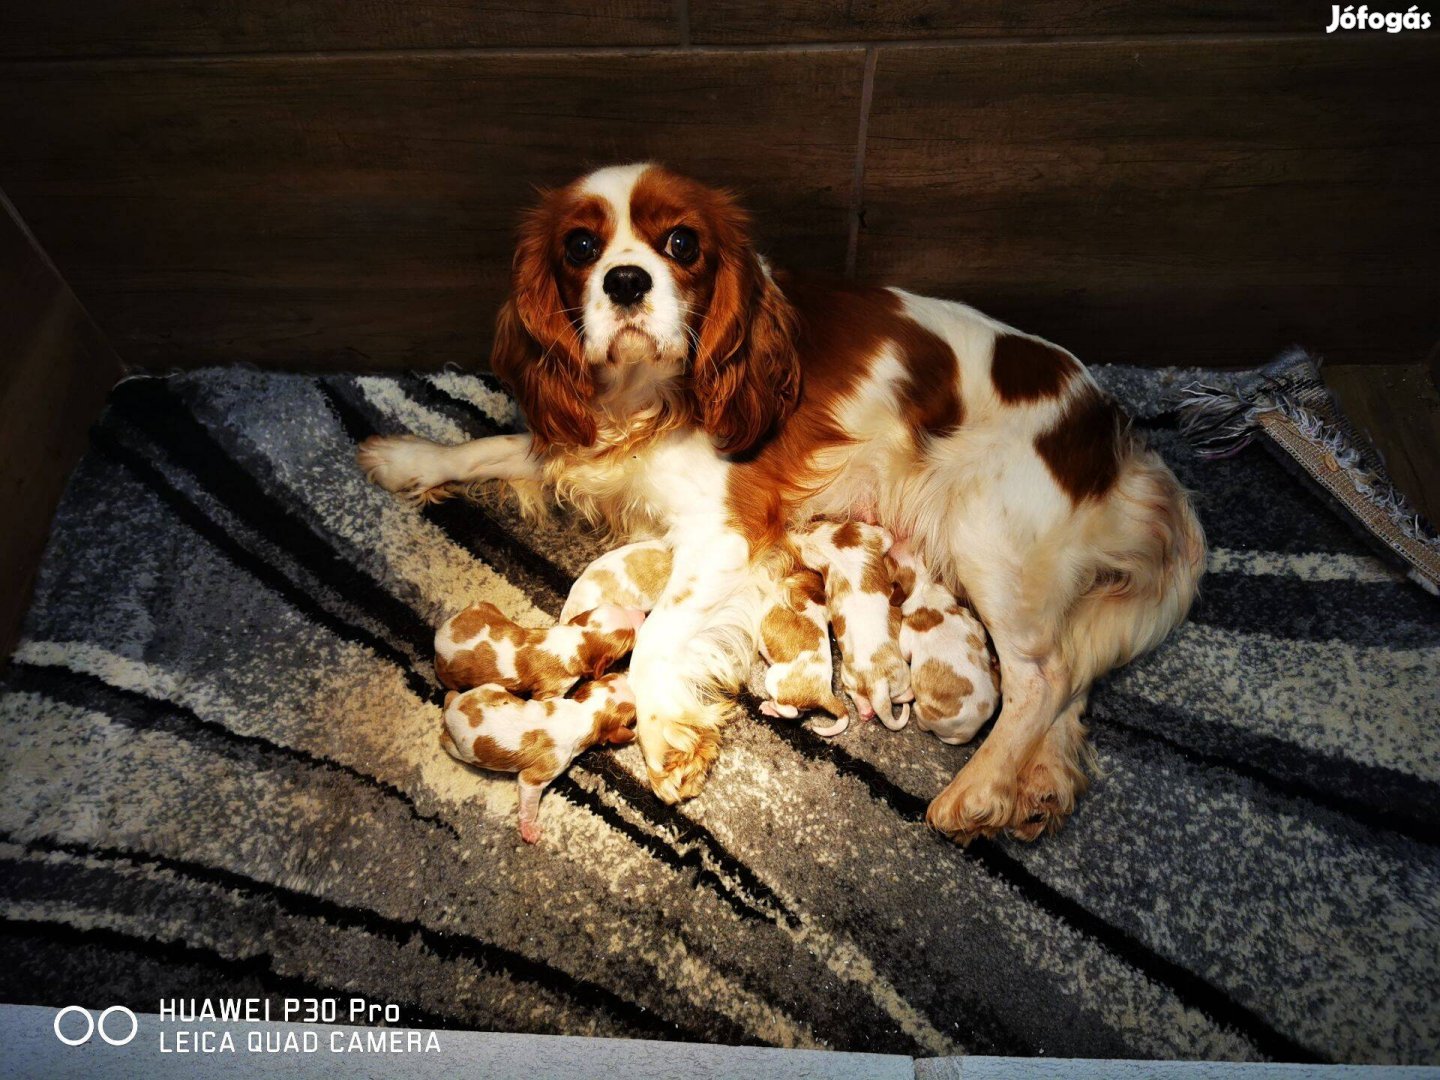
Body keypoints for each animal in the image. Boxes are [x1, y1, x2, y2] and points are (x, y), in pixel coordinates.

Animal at [434, 601, 645, 702]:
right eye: (630, 637)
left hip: (482, 606)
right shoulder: (551, 690)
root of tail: (439, 635)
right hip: (449, 677)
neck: (576, 638)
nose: (643, 613)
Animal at [437, 676, 636, 846]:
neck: (584, 712)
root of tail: (452, 709)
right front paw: (529, 829)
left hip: (489, 688)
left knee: (458, 694)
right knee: (445, 740)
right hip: (458, 749)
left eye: (610, 676)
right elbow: (529, 796)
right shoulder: (542, 772)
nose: (626, 674)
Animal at [800, 521, 910, 731]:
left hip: (848, 677)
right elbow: (886, 536)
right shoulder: (870, 532)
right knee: (904, 696)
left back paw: (866, 712)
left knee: (857, 696)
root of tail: (877, 684)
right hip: (901, 677)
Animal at [892, 550, 996, 743]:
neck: (926, 587)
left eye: (889, 561)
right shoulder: (972, 621)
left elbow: (905, 652)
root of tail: (967, 732)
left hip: (924, 712)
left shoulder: (906, 640)